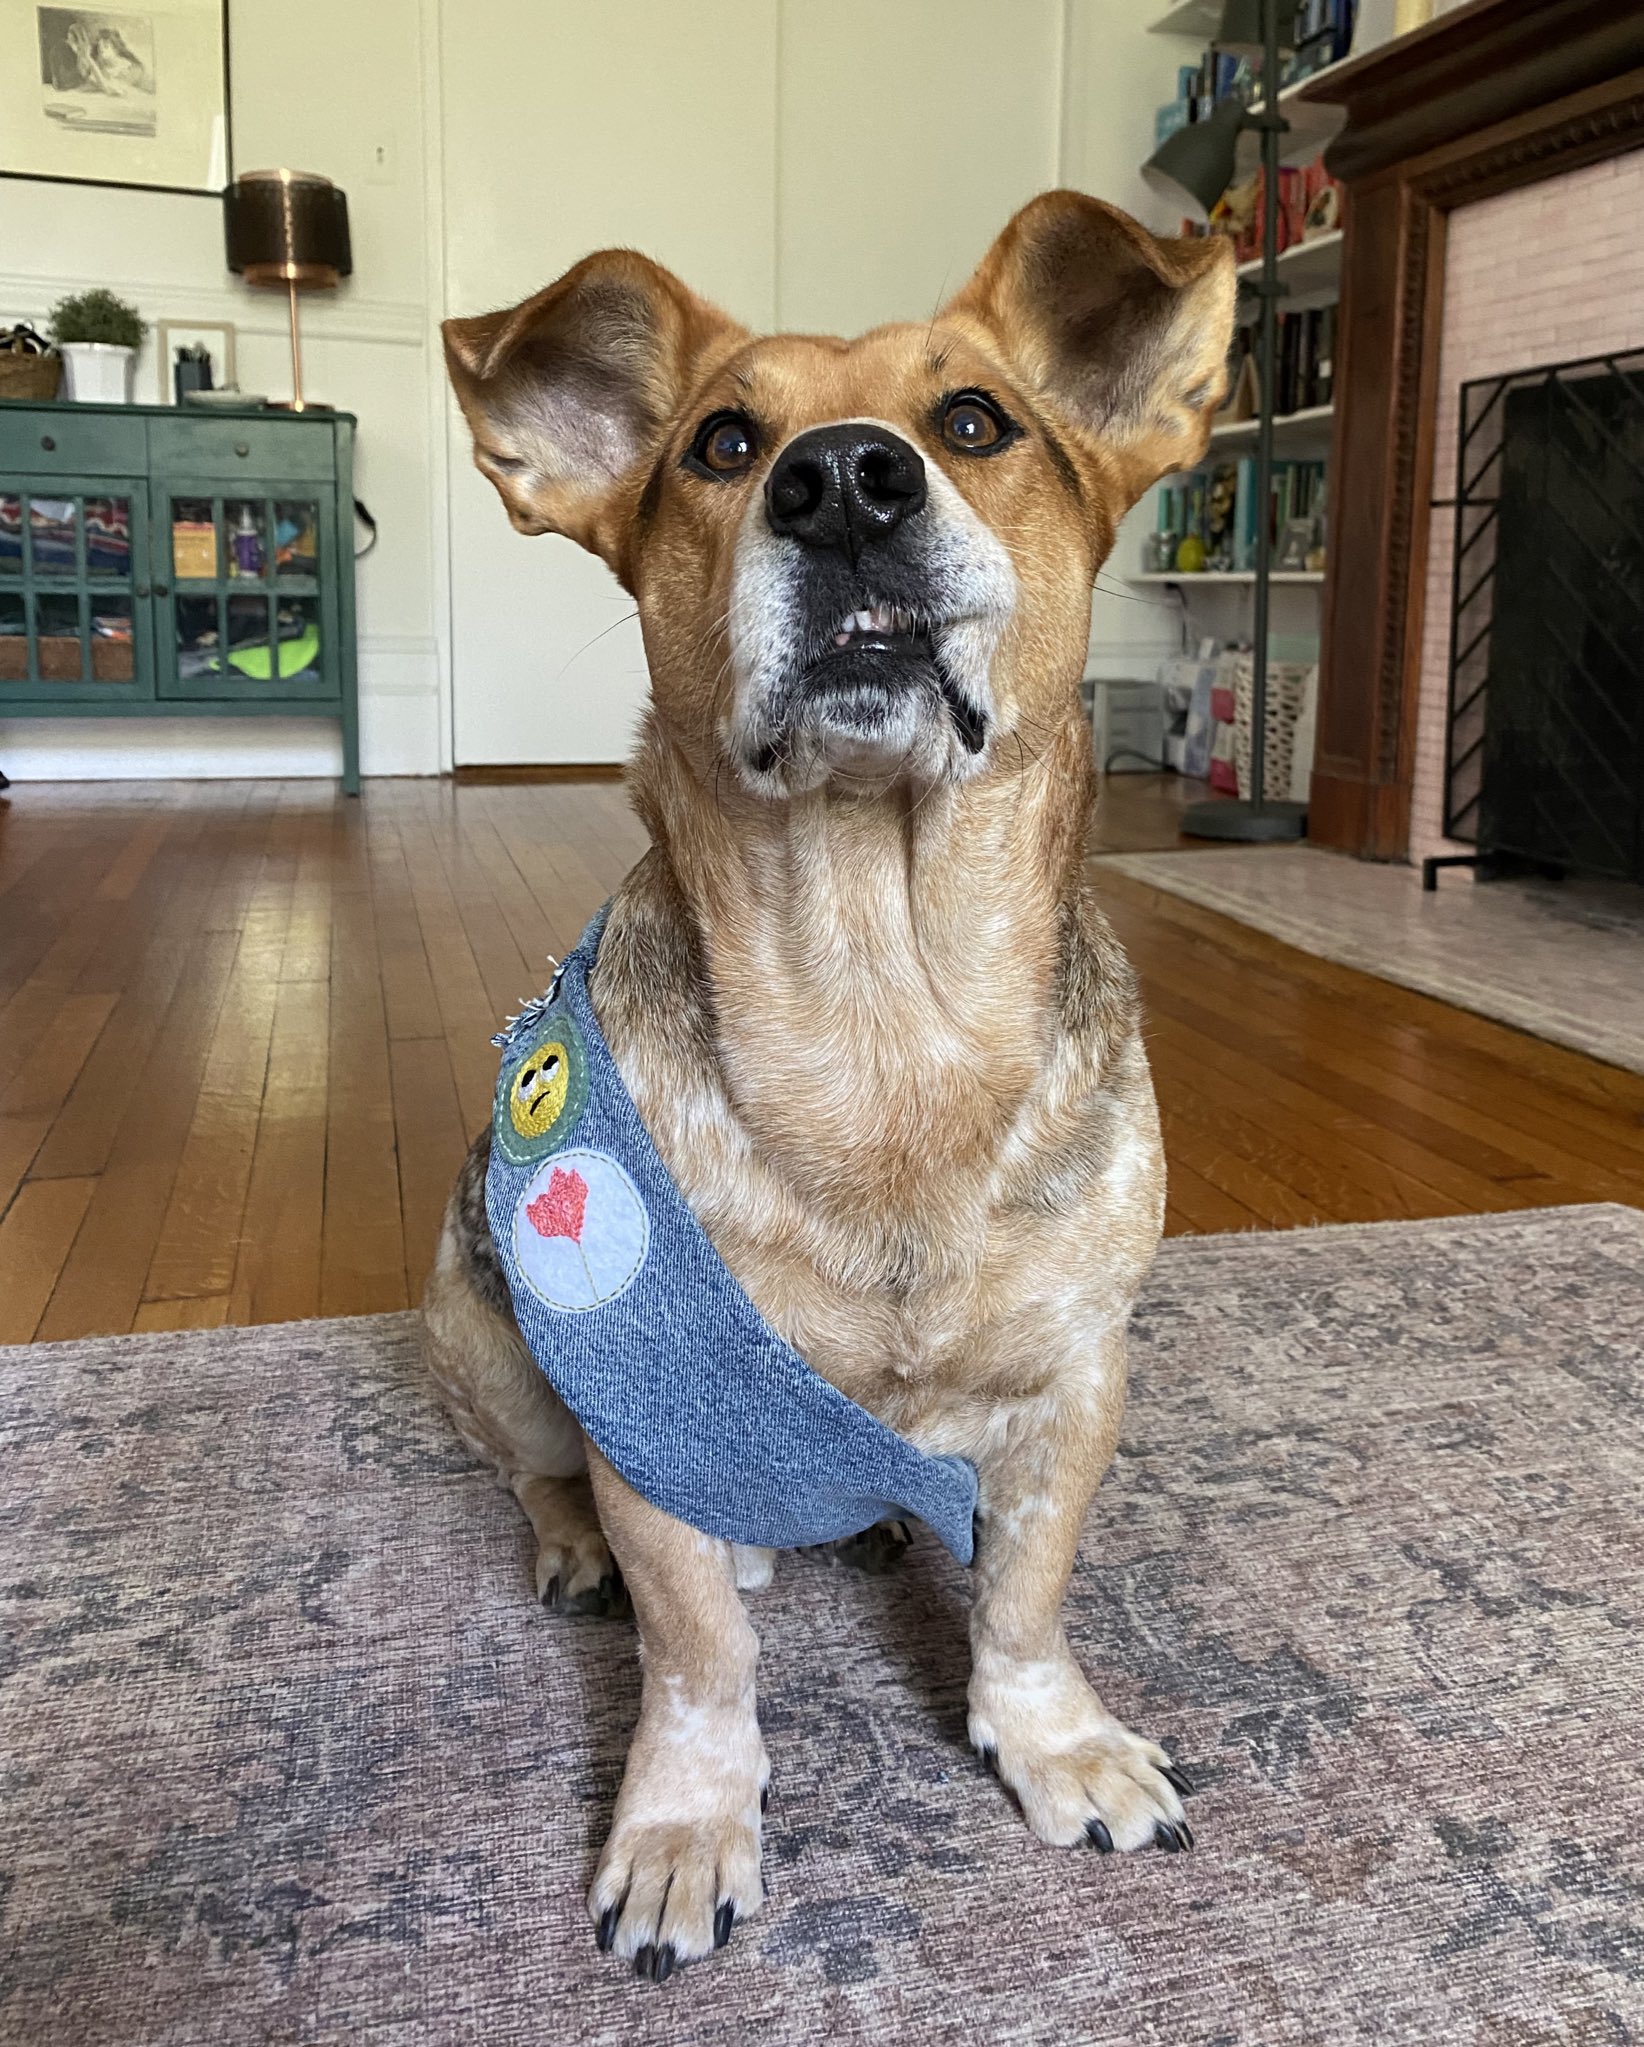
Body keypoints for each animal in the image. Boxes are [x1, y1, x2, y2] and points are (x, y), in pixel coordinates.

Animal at [423, 192, 1236, 1981]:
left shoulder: (1077, 1379)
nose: (846, 479)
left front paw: (1055, 1738)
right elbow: (695, 1657)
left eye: (978, 422)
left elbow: (1027, 1596)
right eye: (725, 443)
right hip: (469, 1316)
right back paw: (575, 1546)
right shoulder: (652, 1412)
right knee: (537, 1473)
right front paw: (682, 1820)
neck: (887, 1005)